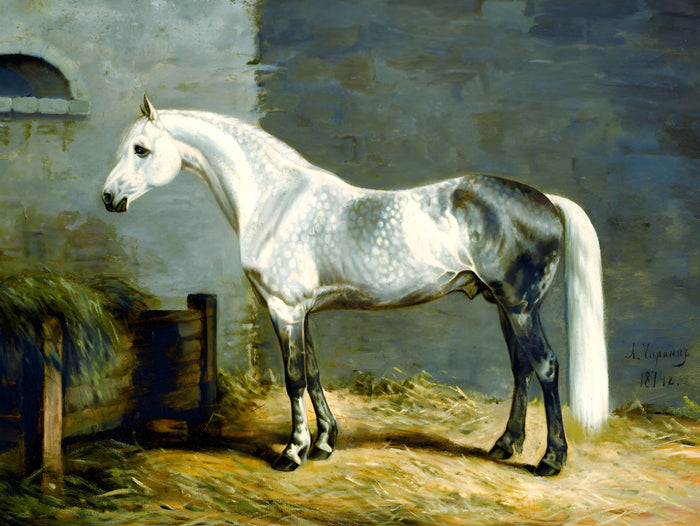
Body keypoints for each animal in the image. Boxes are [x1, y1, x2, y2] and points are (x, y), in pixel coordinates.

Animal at [102, 95, 608, 476]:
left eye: (141, 149)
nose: (109, 197)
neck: (275, 200)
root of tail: (546, 200)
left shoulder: (284, 309)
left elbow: (293, 377)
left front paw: (293, 452)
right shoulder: (302, 311)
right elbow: (313, 373)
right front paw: (325, 442)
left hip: (520, 307)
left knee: (545, 366)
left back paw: (551, 459)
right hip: (505, 306)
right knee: (521, 369)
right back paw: (506, 445)